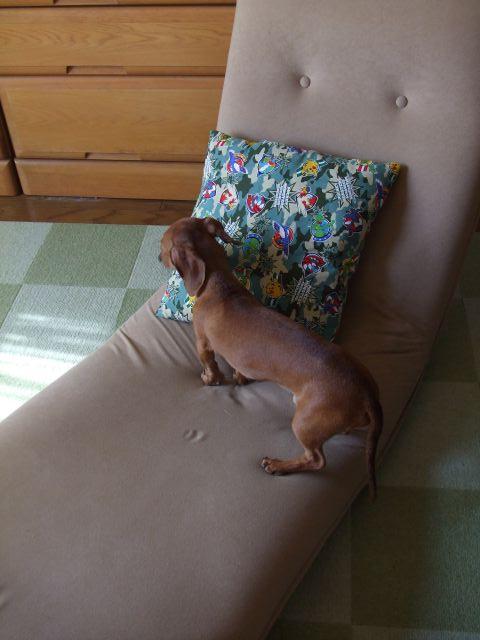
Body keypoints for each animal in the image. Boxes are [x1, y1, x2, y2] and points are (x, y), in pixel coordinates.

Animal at [160, 216, 383, 498]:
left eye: (163, 245)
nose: (157, 257)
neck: (219, 285)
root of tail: (366, 392)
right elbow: (240, 370)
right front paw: (240, 377)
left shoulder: (202, 343)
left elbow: (210, 366)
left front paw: (210, 378)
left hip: (304, 422)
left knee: (316, 460)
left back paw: (279, 465)